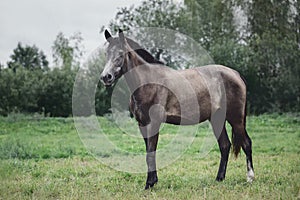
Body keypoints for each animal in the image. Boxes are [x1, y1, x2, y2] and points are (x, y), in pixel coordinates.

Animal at [100, 29, 253, 189]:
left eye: (120, 53)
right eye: (106, 53)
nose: (106, 77)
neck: (148, 83)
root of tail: (236, 74)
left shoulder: (154, 123)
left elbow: (151, 153)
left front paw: (149, 184)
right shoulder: (142, 124)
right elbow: (149, 153)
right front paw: (153, 181)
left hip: (236, 119)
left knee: (246, 143)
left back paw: (250, 178)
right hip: (217, 119)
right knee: (225, 145)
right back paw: (219, 178)